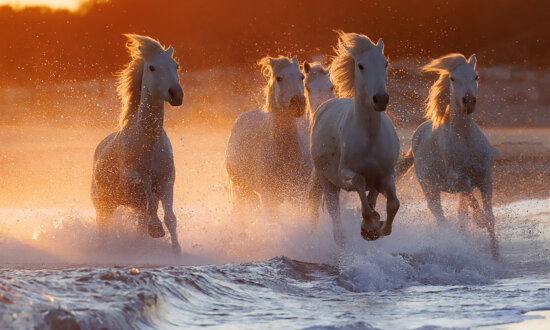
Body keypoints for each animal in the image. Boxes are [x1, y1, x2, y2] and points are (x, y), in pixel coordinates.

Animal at [224, 54, 310, 209]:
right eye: (279, 78)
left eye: (301, 77)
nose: (299, 103)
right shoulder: (269, 198)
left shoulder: (299, 196)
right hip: (241, 191)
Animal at [310, 32, 402, 245]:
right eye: (360, 65)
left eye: (385, 63)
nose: (381, 99)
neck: (369, 136)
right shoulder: (345, 173)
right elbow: (360, 182)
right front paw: (369, 226)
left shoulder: (386, 175)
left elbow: (393, 204)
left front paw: (378, 228)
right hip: (326, 180)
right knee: (335, 216)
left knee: (374, 196)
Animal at [396, 52, 500, 256]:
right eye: (452, 78)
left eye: (476, 76)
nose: (469, 102)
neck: (465, 140)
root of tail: (417, 135)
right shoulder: (458, 180)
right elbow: (474, 203)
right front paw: (479, 221)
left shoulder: (485, 179)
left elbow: (489, 215)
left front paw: (496, 254)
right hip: (428, 187)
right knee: (439, 214)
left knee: (460, 213)